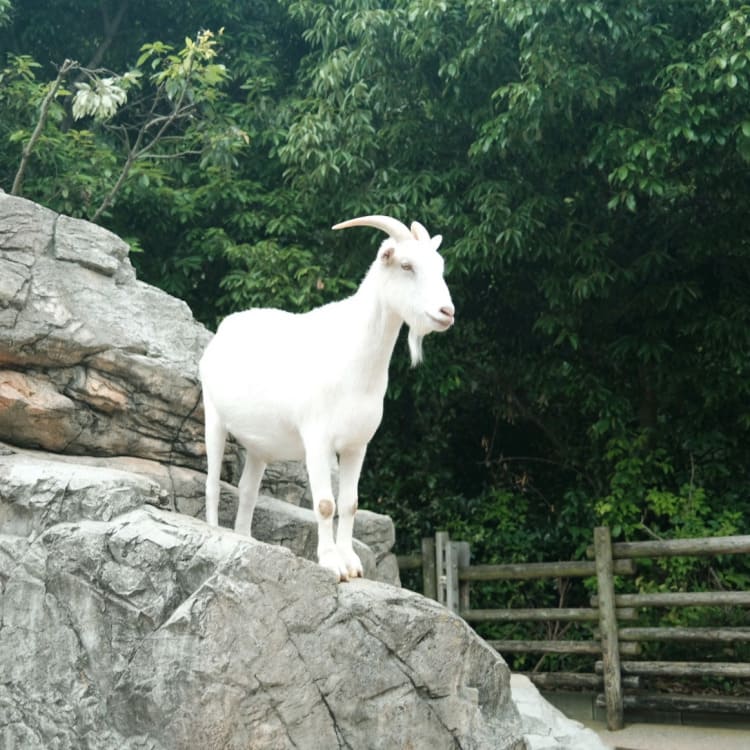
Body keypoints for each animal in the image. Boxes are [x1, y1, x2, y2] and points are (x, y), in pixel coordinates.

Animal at [199, 215, 454, 581]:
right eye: (406, 265)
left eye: (440, 266)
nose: (446, 311)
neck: (354, 358)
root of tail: (224, 330)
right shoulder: (316, 439)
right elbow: (324, 503)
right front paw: (333, 563)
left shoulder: (357, 445)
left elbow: (350, 503)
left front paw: (353, 563)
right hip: (213, 417)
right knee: (212, 483)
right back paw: (214, 530)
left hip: (260, 447)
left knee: (248, 491)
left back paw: (246, 539)